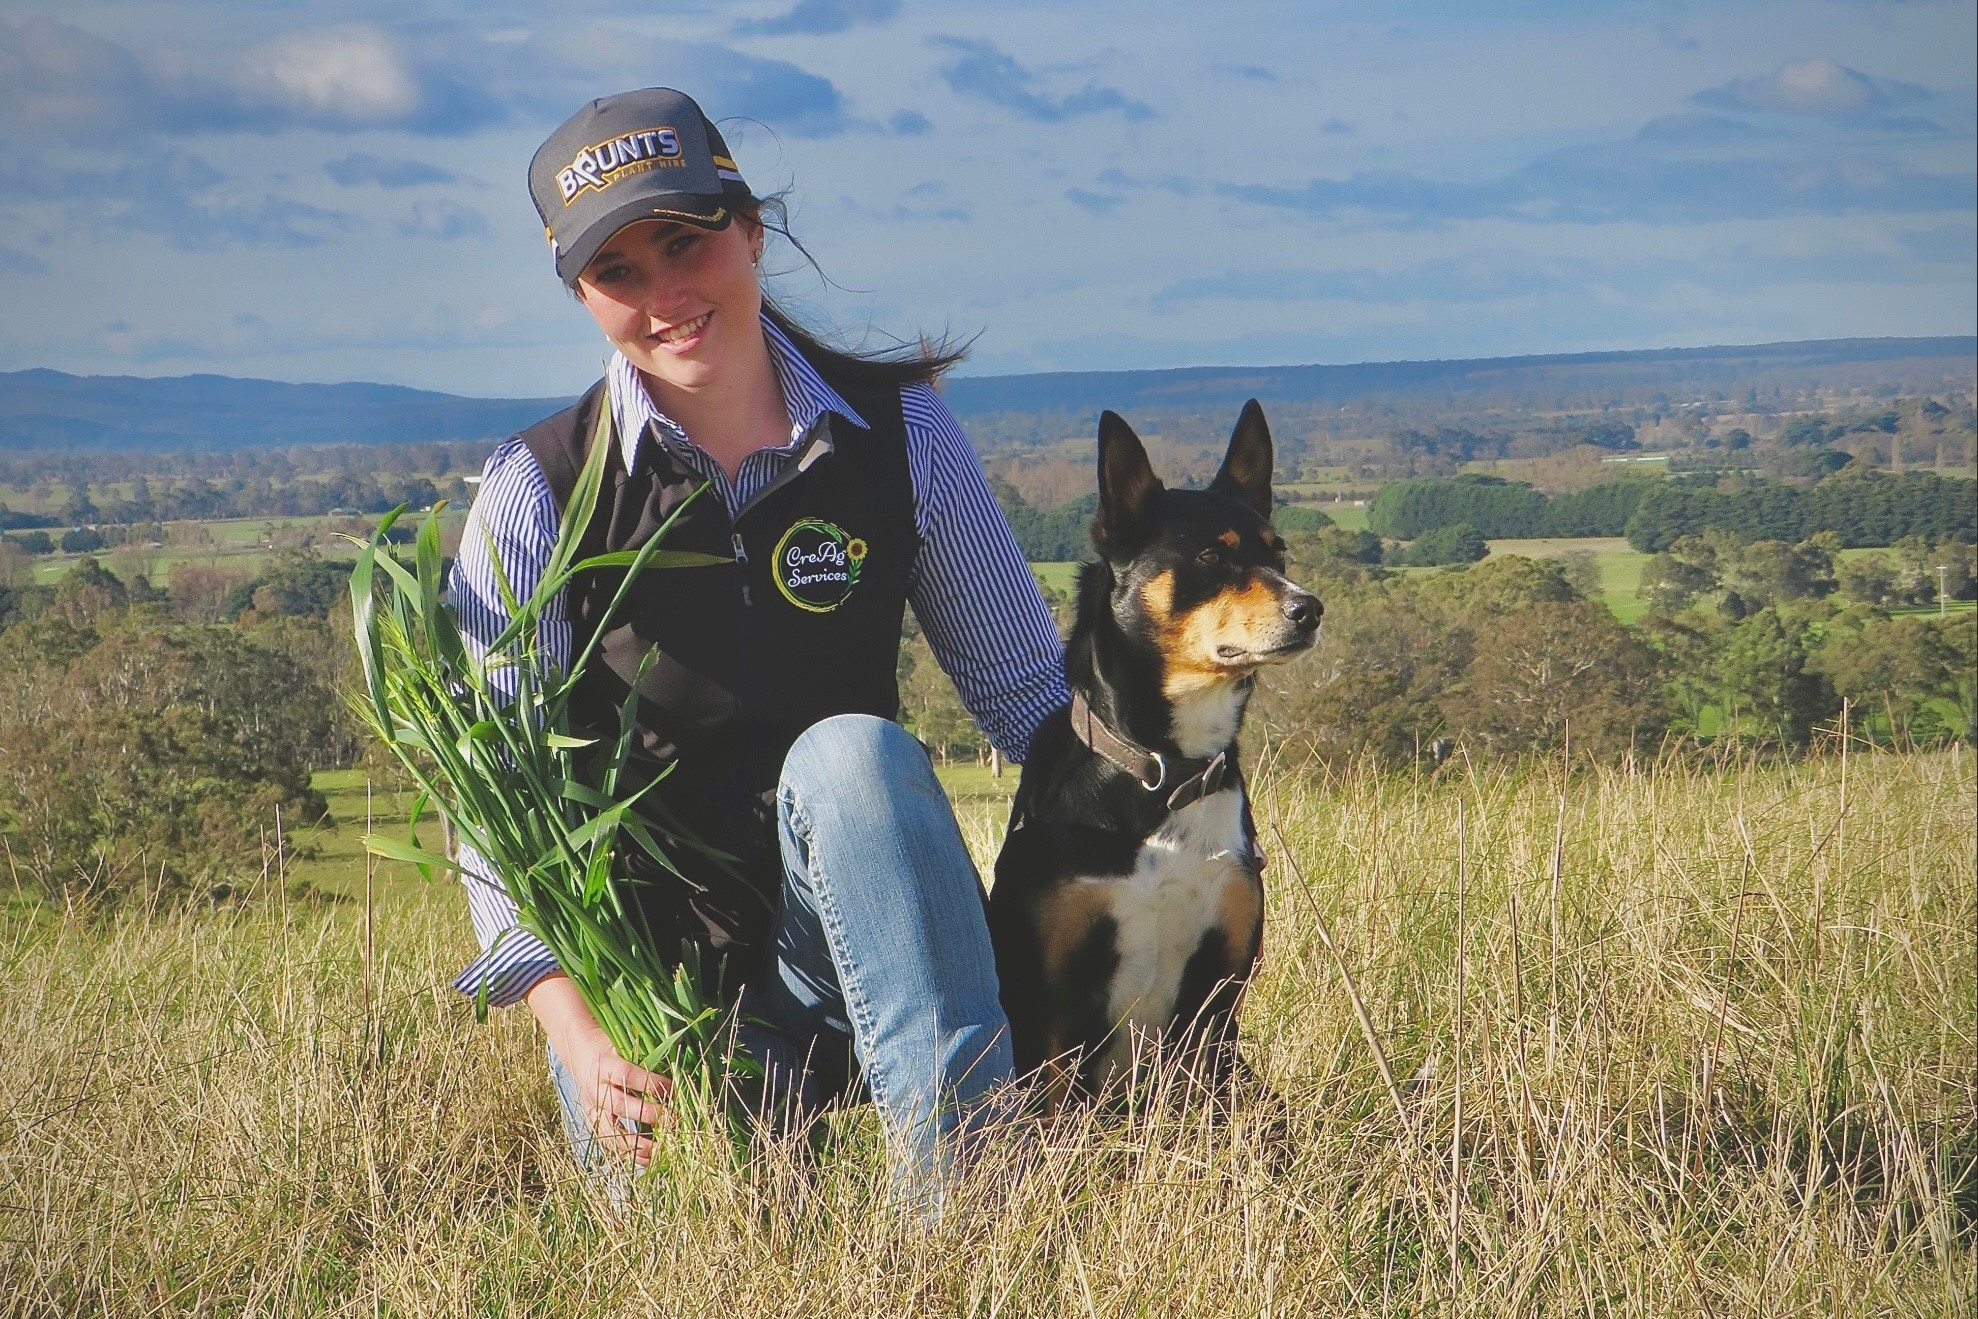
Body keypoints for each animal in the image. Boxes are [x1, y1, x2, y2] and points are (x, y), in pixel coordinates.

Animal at [989, 399, 1329, 1107]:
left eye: (1278, 552)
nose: (1309, 609)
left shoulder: (1216, 1000)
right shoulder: (1051, 1012)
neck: (1166, 773)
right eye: (1210, 554)